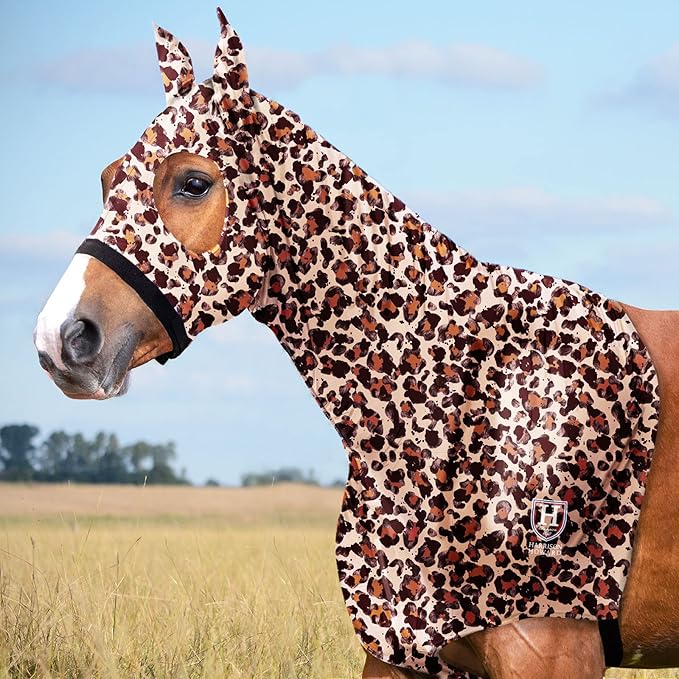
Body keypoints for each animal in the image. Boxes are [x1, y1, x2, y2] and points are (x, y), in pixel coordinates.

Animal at [33, 9, 679, 679]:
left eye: (192, 182)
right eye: (106, 178)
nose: (63, 337)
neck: (459, 389)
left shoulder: (550, 654)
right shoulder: (399, 654)